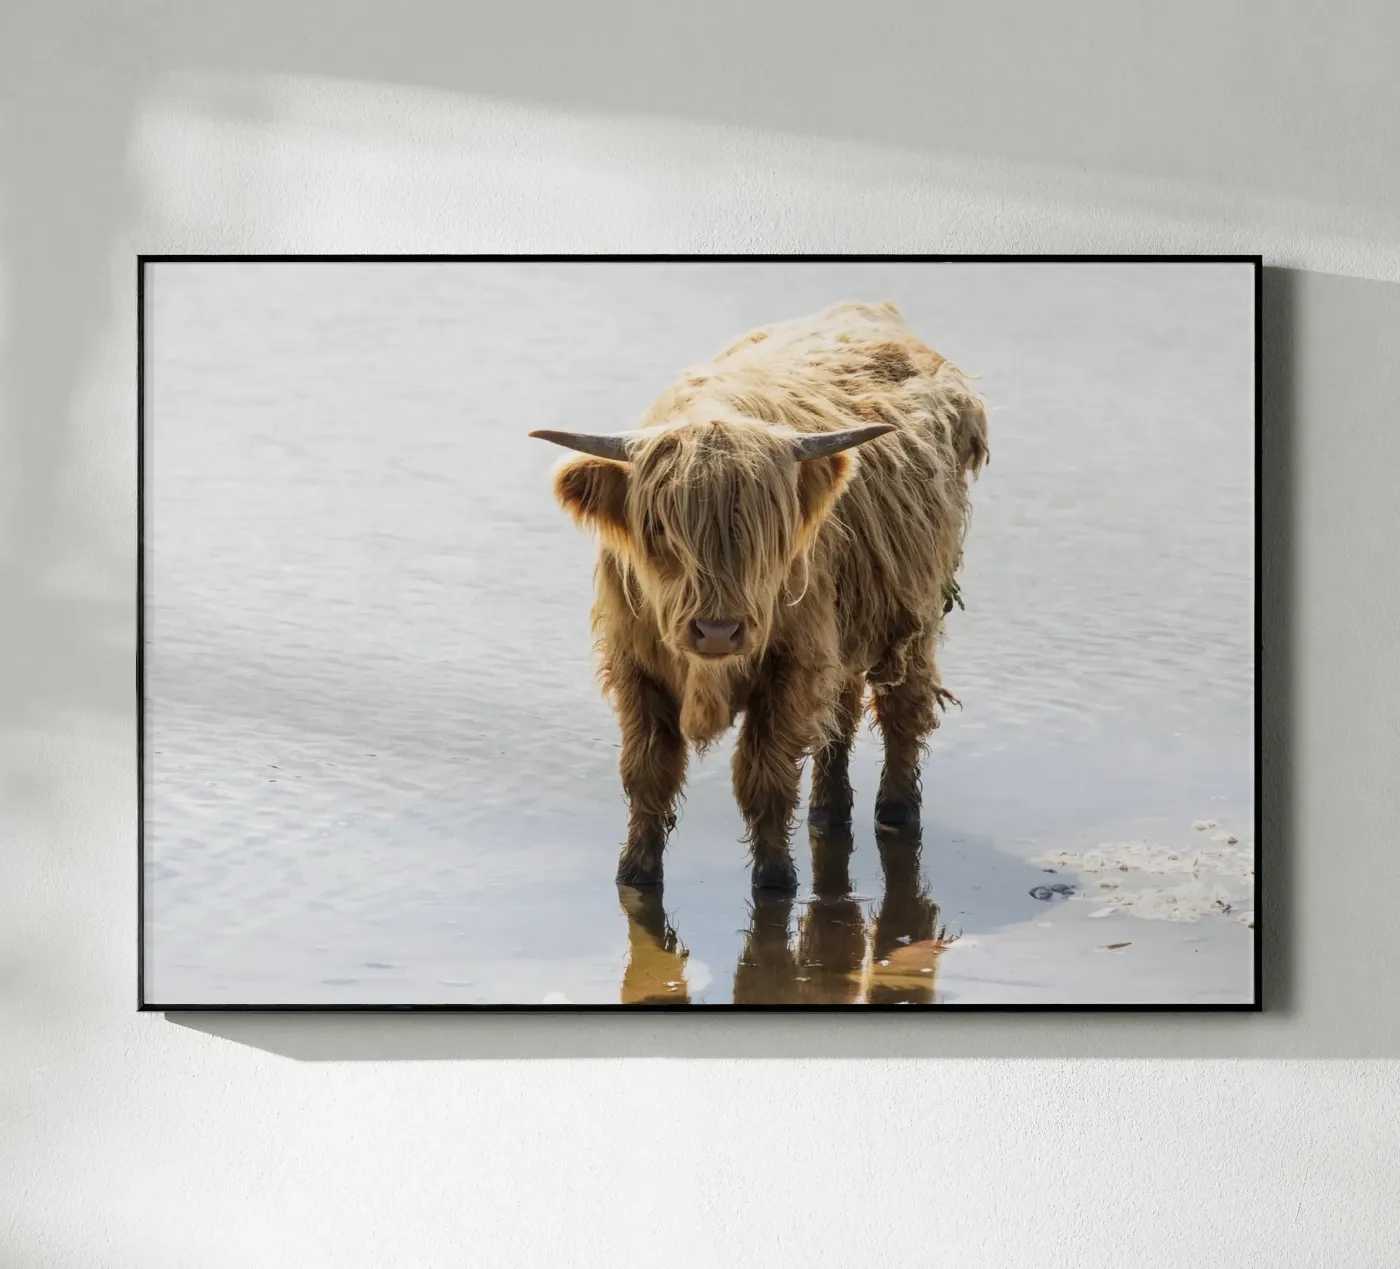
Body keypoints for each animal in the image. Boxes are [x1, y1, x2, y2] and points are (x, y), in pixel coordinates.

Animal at [532, 300, 988, 892]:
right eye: (658, 528)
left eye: (766, 533)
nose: (717, 631)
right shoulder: (635, 665)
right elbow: (647, 774)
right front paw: (635, 873)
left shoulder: (792, 663)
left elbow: (765, 778)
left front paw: (775, 880)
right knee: (839, 714)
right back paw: (828, 811)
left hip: (914, 613)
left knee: (902, 709)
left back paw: (896, 811)